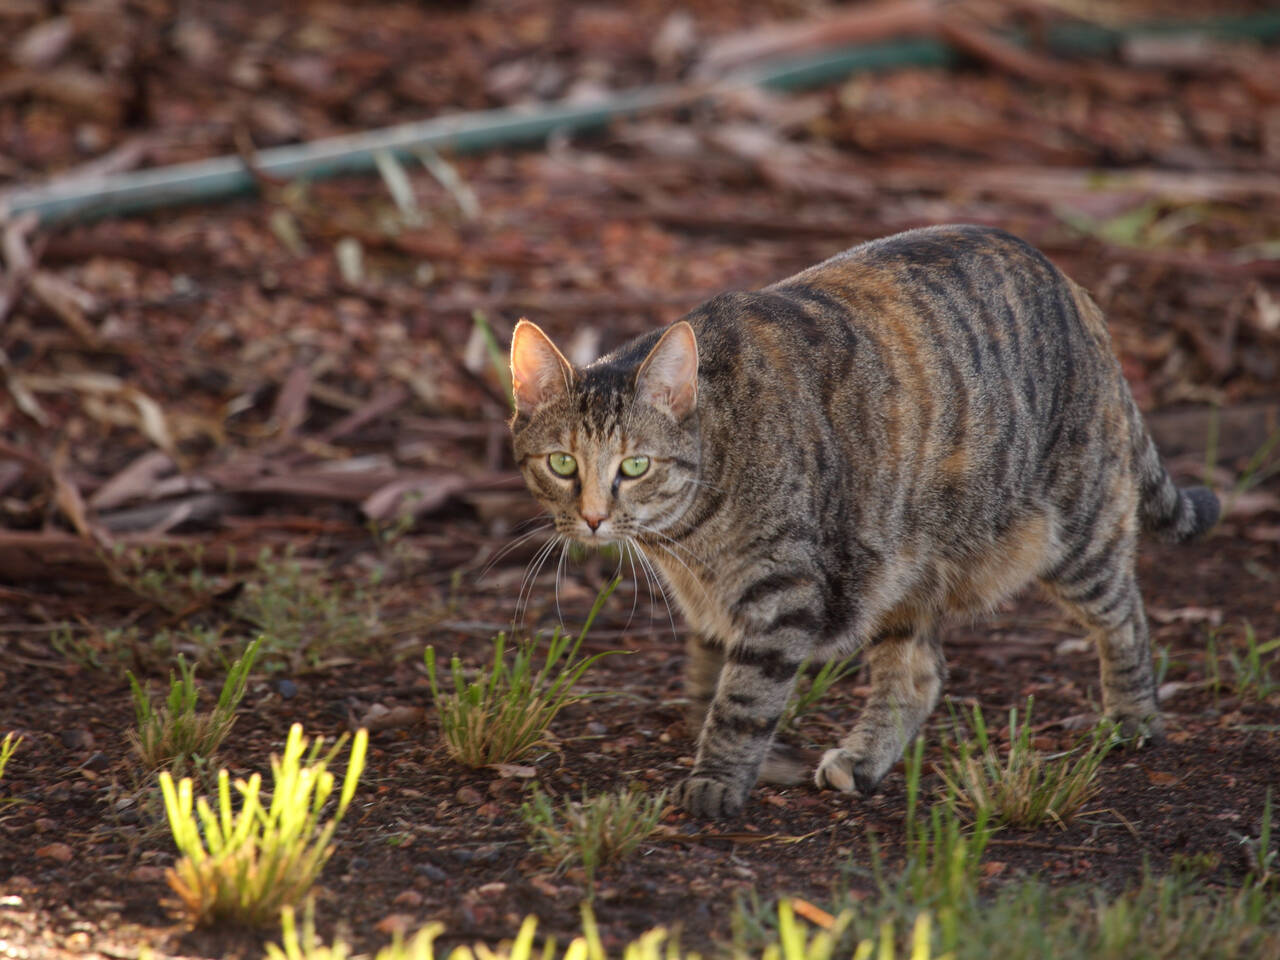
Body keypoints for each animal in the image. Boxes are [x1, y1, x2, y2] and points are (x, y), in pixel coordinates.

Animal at [506, 225, 1218, 819]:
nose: (593, 518)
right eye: (563, 463)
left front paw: (717, 777)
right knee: (921, 673)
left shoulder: (783, 590)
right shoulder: (719, 603)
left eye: (635, 466)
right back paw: (866, 757)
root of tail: (1074, 289)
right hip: (897, 567)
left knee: (1126, 615)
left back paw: (1134, 717)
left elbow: (743, 700)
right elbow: (709, 679)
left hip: (1076, 532)